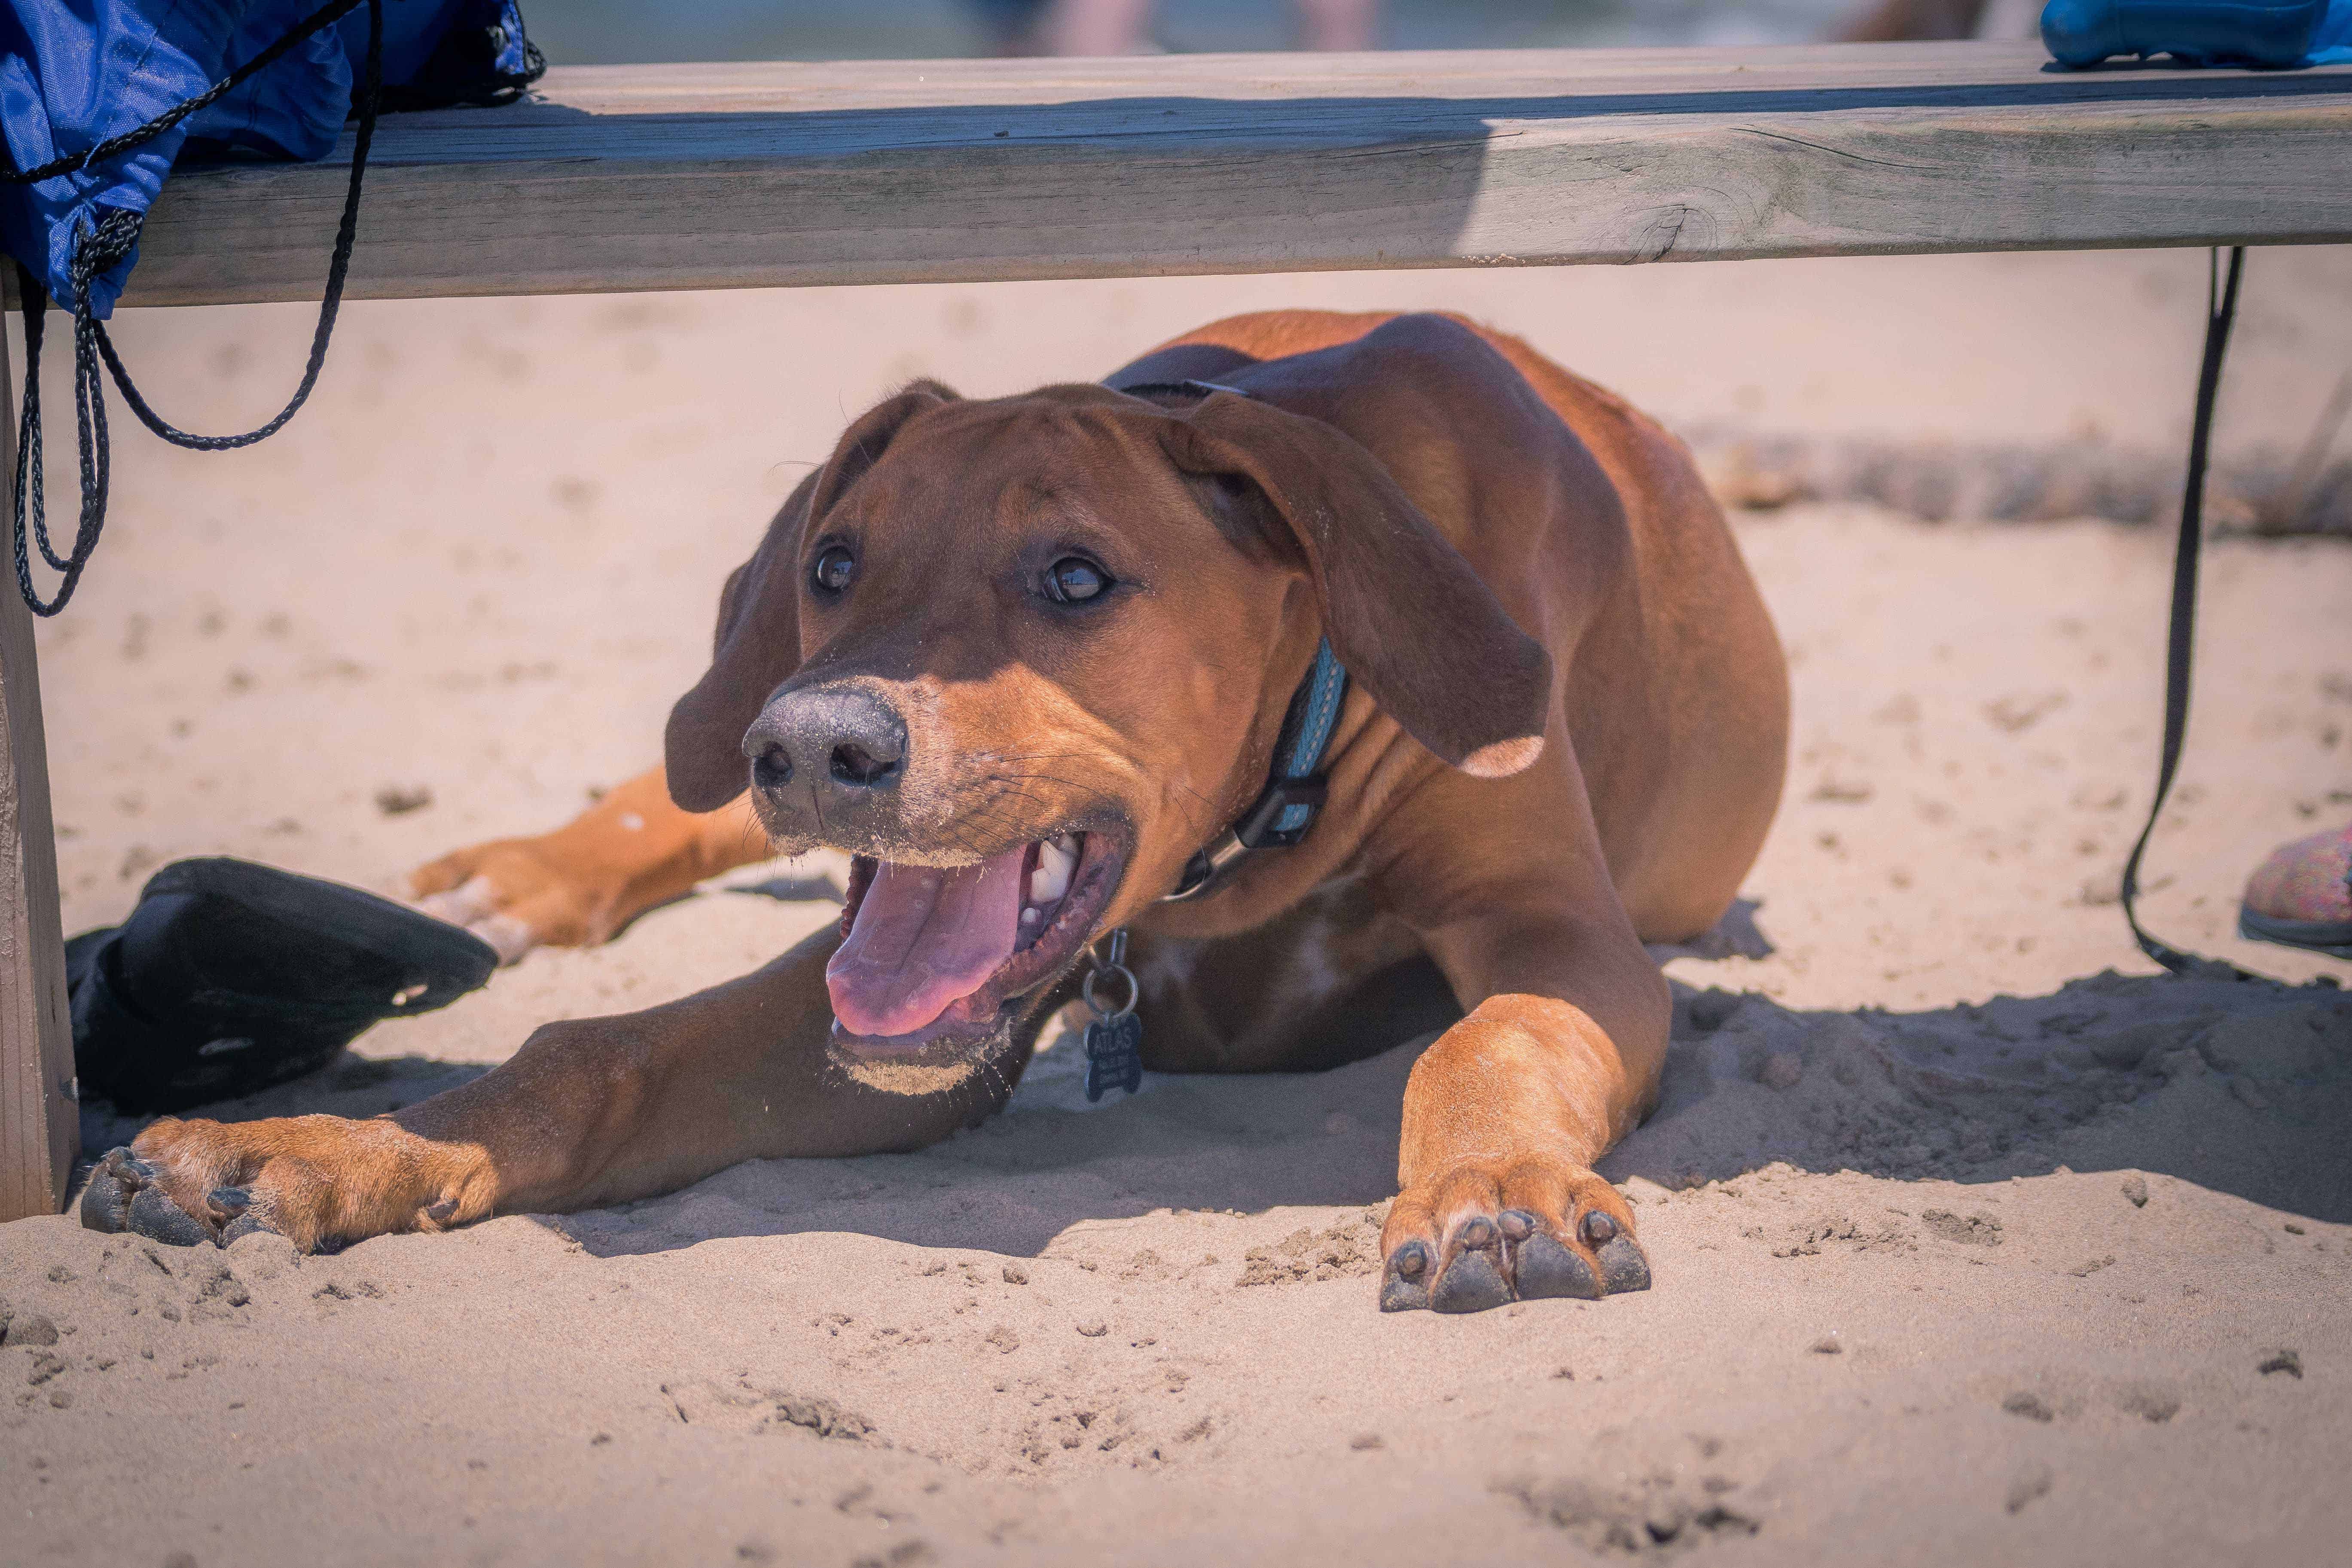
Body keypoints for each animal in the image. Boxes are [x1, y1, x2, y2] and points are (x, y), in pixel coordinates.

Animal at [82, 305, 1788, 1316]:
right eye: (833, 562)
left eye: (1078, 578)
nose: (808, 743)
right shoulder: (879, 1031)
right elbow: (593, 1053)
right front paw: (309, 1149)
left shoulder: (1557, 930)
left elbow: (1490, 1031)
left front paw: (1490, 1184)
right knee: (669, 799)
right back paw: (520, 874)